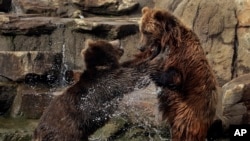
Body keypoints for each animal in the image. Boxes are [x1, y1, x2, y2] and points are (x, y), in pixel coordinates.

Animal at [139, 7, 219, 140]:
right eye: (141, 30)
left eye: (147, 32)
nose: (140, 47)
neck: (169, 39)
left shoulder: (182, 56)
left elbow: (175, 75)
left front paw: (154, 74)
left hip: (189, 108)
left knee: (183, 127)